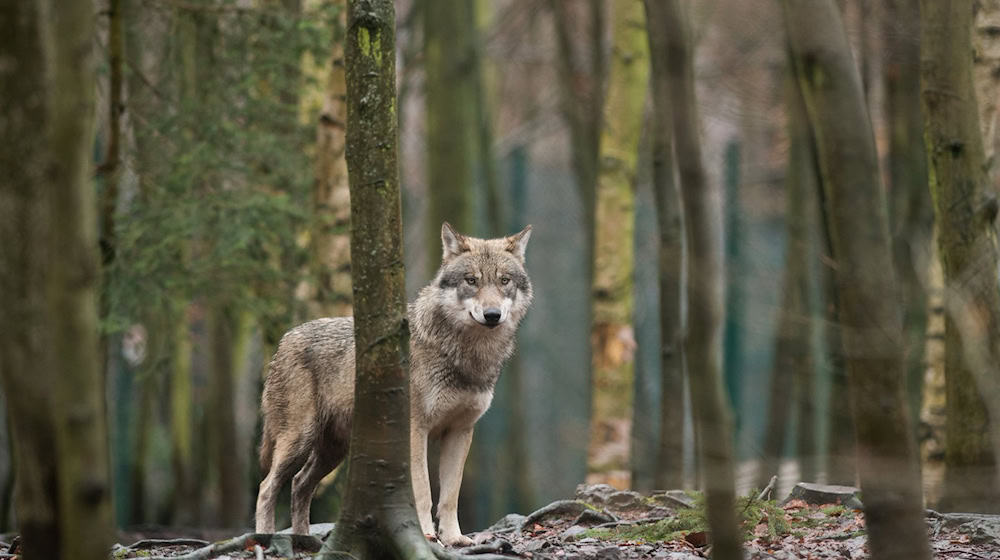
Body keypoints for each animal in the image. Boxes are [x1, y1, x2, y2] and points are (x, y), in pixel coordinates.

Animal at [252, 221, 532, 544]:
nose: (492, 315)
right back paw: (265, 538)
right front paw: (426, 535)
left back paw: (303, 539)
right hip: (299, 440)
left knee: (299, 484)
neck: (465, 355)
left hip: (333, 451)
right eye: (471, 280)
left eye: (504, 281)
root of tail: (285, 339)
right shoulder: (415, 430)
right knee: (267, 486)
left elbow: (450, 495)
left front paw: (453, 539)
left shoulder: (460, 431)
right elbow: (423, 490)